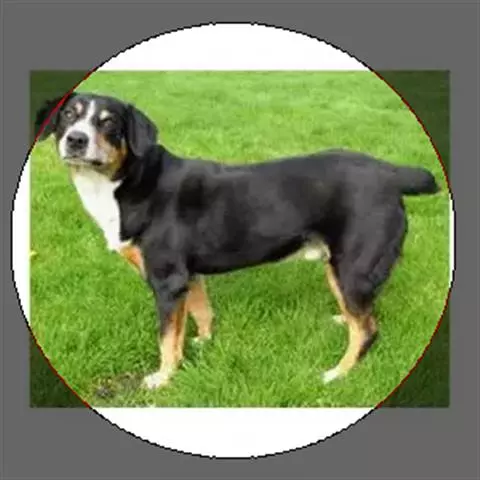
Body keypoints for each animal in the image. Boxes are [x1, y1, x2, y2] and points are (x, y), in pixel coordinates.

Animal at [34, 92, 440, 388]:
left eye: (109, 123)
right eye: (68, 115)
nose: (76, 140)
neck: (129, 183)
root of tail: (389, 172)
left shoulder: (167, 280)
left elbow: (166, 338)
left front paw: (163, 378)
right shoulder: (188, 275)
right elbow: (199, 311)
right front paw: (202, 342)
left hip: (353, 265)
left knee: (368, 329)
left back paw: (337, 373)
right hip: (342, 268)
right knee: (364, 313)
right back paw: (343, 319)